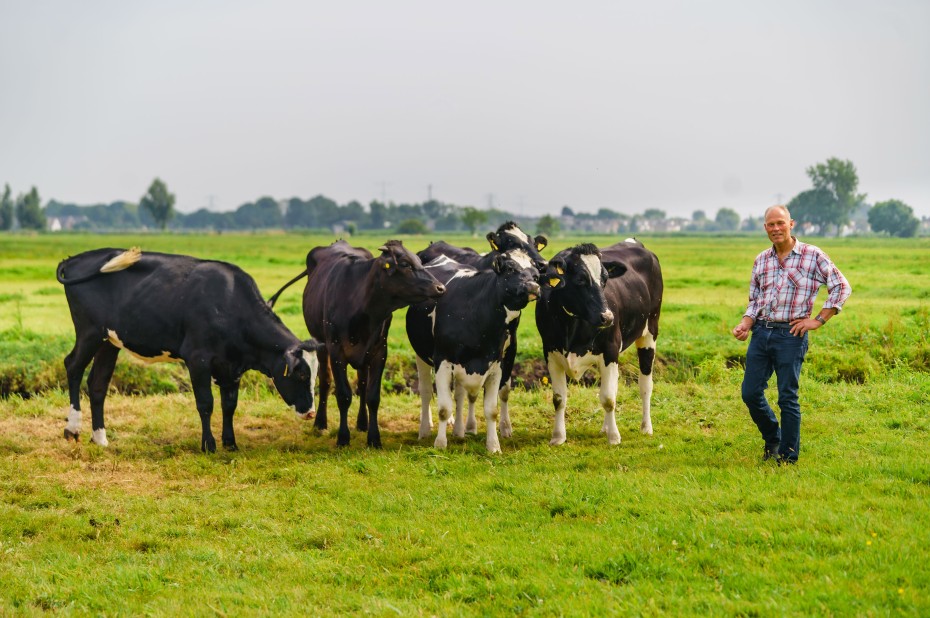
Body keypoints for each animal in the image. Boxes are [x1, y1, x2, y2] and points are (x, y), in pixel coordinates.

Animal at [57, 247, 322, 452]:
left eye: (315, 375)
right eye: (300, 374)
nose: (310, 412)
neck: (229, 302)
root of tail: (74, 259)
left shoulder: (232, 367)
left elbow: (229, 405)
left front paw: (230, 443)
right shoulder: (198, 360)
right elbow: (205, 403)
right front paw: (209, 445)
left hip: (109, 342)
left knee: (97, 384)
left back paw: (100, 438)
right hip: (89, 332)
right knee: (73, 366)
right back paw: (72, 428)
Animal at [266, 238, 444, 446]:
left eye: (418, 260)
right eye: (405, 264)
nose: (440, 287)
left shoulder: (379, 351)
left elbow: (372, 396)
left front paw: (374, 438)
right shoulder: (336, 350)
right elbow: (343, 395)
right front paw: (343, 437)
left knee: (362, 384)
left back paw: (362, 423)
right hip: (321, 344)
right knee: (325, 381)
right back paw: (320, 422)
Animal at [404, 249, 536, 452]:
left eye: (536, 274)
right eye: (510, 269)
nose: (534, 286)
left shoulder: (495, 364)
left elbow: (491, 409)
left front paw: (493, 446)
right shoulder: (442, 360)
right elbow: (444, 408)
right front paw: (440, 444)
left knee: (458, 394)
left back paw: (459, 430)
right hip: (422, 355)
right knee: (426, 391)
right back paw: (424, 429)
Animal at [532, 238, 664, 446]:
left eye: (605, 280)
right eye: (580, 279)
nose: (608, 317)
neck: (572, 324)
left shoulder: (610, 351)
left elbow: (608, 399)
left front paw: (614, 437)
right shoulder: (551, 353)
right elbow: (559, 399)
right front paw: (558, 437)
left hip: (650, 331)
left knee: (645, 385)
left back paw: (646, 427)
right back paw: (605, 427)